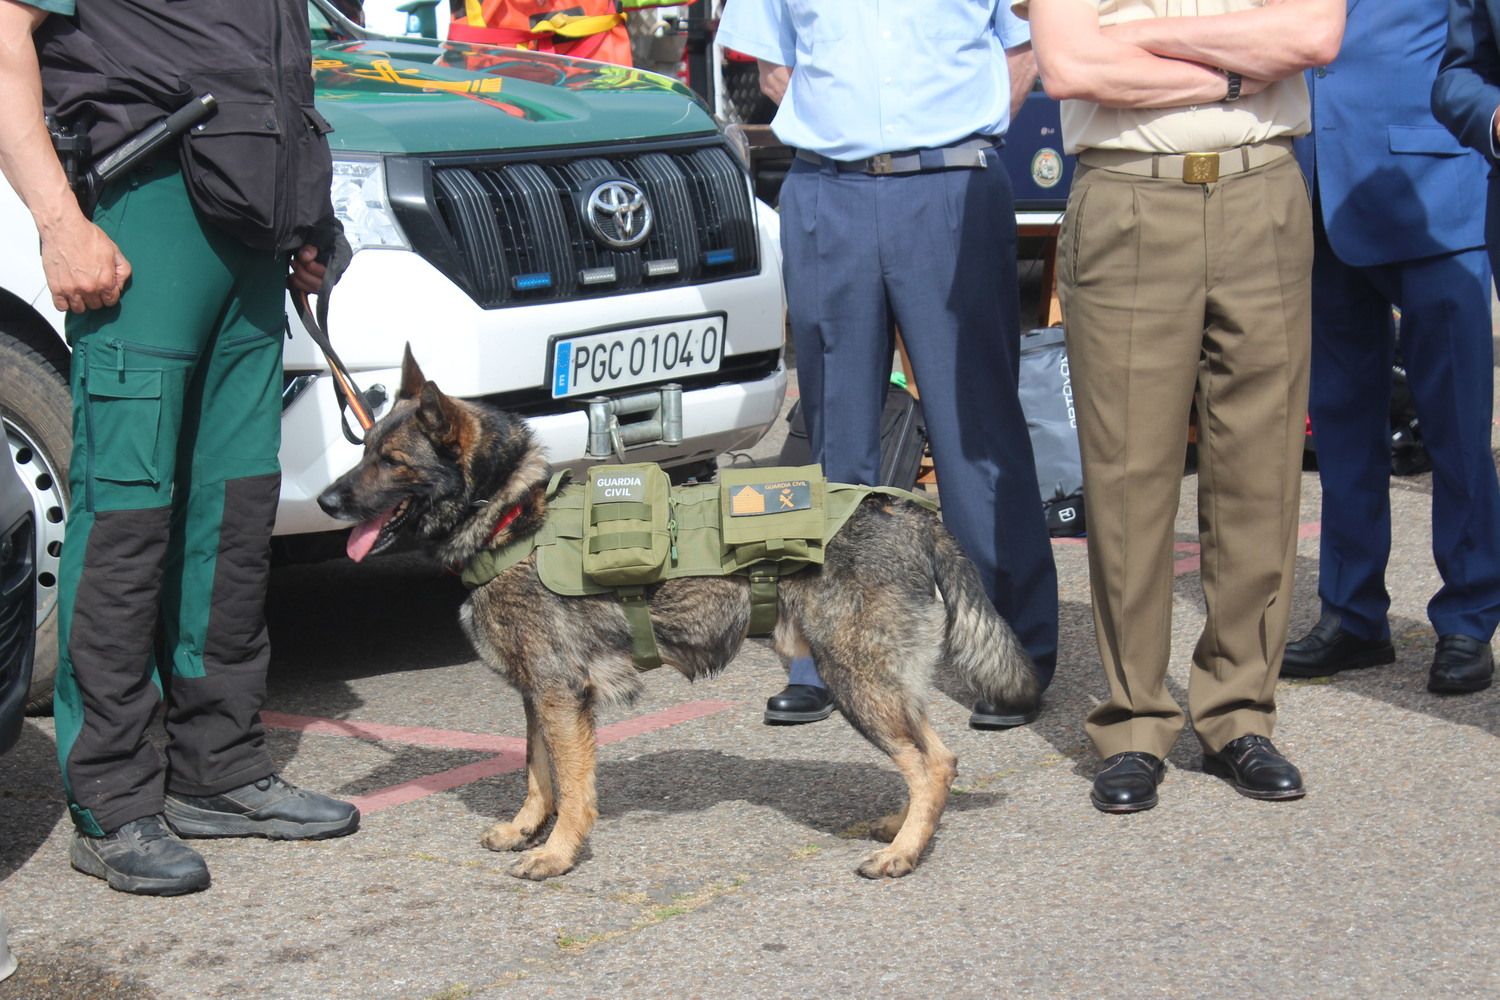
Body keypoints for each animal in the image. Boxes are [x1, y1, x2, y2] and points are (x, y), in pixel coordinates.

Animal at [316, 352, 1038, 881]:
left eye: (392, 462)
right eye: (364, 450)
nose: (326, 500)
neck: (511, 516)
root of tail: (907, 511)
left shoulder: (560, 696)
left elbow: (572, 788)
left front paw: (557, 854)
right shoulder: (537, 697)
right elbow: (537, 775)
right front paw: (527, 830)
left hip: (857, 682)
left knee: (933, 764)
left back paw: (904, 853)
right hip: (881, 684)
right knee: (935, 755)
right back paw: (904, 825)